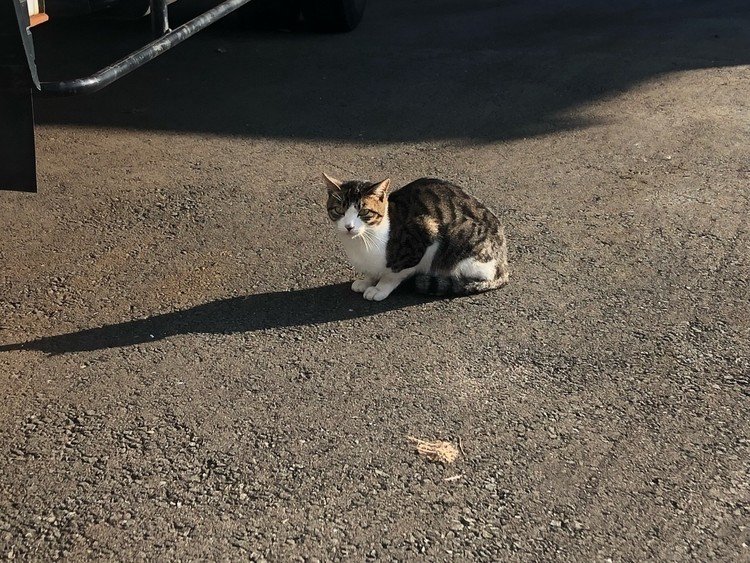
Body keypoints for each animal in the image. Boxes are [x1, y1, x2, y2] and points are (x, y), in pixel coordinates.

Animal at [324, 173, 512, 302]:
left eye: (364, 212)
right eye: (339, 210)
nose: (349, 226)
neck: (363, 242)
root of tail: (503, 262)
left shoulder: (424, 233)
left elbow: (393, 274)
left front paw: (379, 288)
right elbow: (372, 272)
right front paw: (367, 281)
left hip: (463, 246)